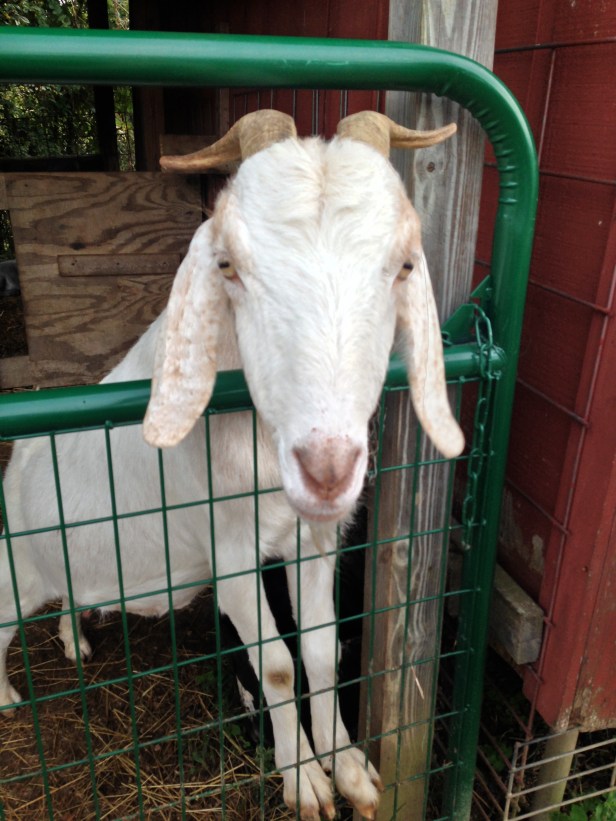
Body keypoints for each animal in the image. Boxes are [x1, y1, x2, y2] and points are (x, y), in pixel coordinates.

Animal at [0, 110, 464, 820]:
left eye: (405, 264)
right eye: (228, 266)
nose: (327, 469)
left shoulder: (314, 540)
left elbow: (322, 649)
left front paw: (350, 769)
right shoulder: (231, 552)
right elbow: (274, 665)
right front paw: (305, 782)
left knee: (69, 598)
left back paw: (75, 643)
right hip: (11, 568)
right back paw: (5, 698)